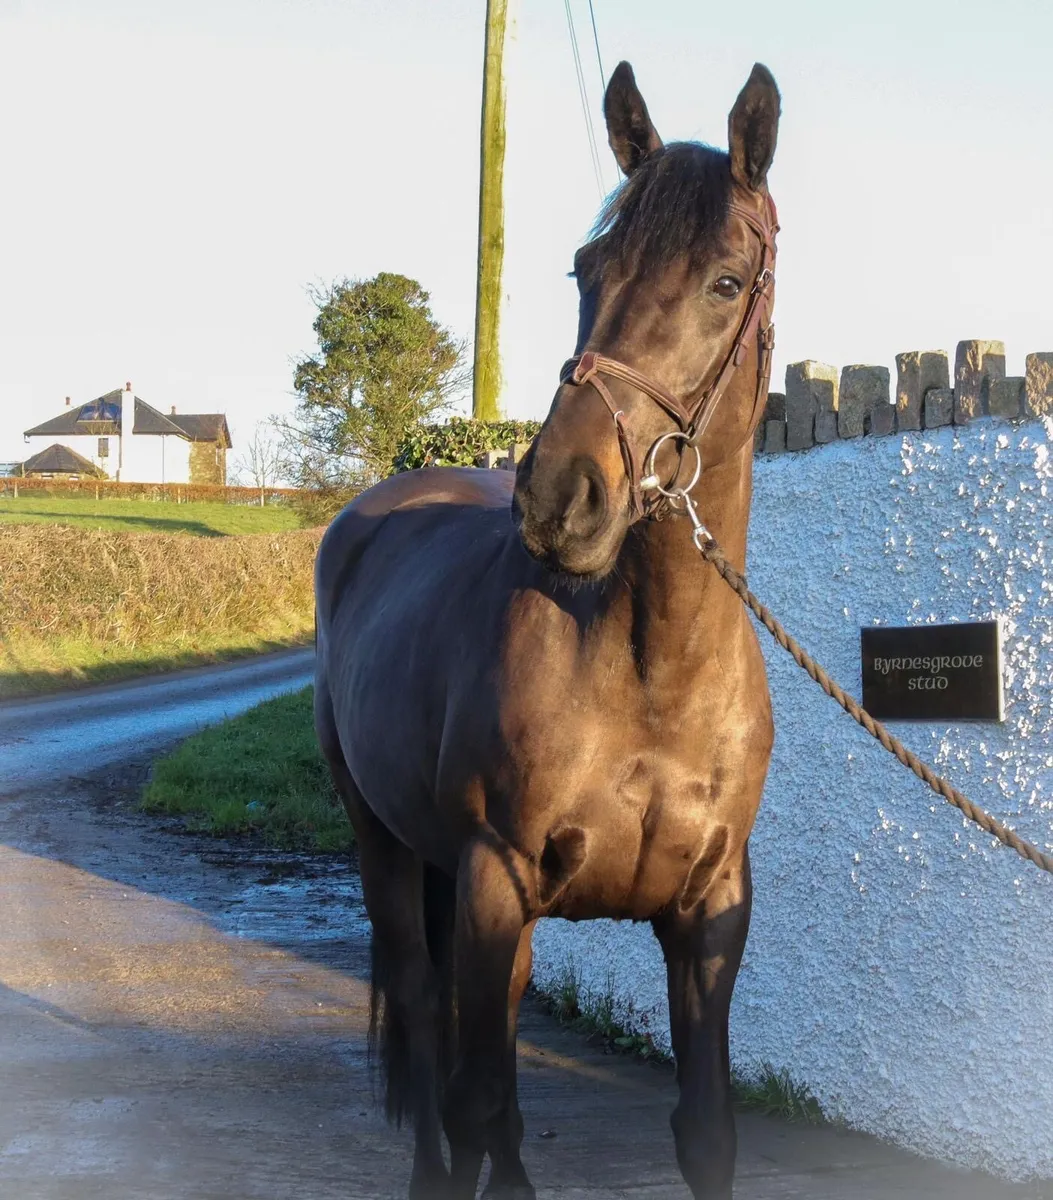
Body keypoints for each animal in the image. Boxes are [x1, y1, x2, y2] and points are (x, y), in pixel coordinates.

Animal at [314, 59, 781, 1200]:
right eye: (586, 267)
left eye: (725, 282)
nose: (562, 497)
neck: (650, 673)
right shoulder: (494, 887)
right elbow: (484, 1106)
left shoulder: (709, 912)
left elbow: (705, 1128)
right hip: (390, 850)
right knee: (429, 1025)